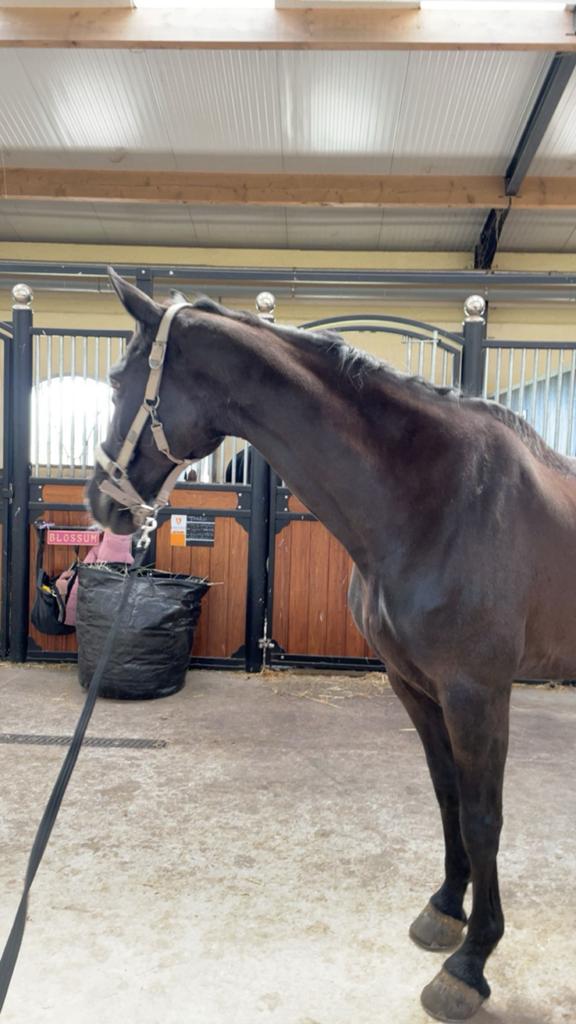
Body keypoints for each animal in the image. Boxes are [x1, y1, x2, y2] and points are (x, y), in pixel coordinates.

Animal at [87, 269, 576, 1023]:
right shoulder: (415, 684)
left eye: (118, 382)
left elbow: (483, 817)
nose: (101, 503)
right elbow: (447, 798)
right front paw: (445, 910)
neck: (443, 500)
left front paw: (471, 964)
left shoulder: (478, 693)